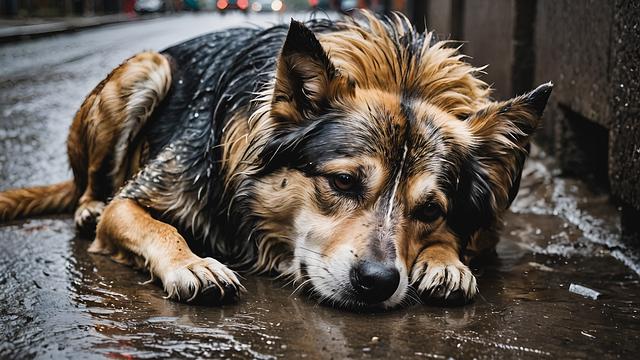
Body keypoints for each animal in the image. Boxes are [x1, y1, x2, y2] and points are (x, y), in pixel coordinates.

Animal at [0, 11, 552, 310]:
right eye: (344, 182)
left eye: (431, 210)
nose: (378, 283)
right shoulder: (134, 201)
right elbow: (159, 226)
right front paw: (194, 263)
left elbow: (456, 240)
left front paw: (445, 262)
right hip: (146, 69)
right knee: (93, 187)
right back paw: (88, 207)